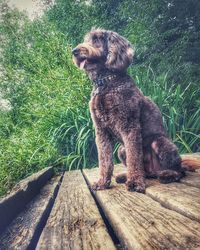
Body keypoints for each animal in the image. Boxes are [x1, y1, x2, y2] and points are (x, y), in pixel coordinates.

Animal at [72, 27, 197, 193]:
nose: (74, 51)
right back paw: (125, 176)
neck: (106, 83)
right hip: (121, 149)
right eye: (86, 39)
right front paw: (102, 182)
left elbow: (134, 158)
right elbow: (105, 160)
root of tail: (153, 171)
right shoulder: (101, 131)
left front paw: (135, 183)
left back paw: (167, 175)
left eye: (97, 39)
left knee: (179, 170)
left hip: (160, 142)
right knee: (145, 170)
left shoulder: (129, 127)